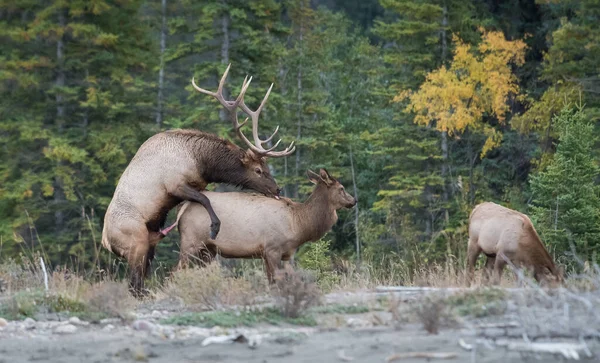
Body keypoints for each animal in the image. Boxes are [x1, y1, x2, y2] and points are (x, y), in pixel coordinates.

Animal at [102, 64, 296, 298]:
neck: (201, 162)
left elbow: (202, 199)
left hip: (148, 244)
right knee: (134, 283)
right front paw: (214, 227)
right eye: (258, 170)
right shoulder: (175, 185)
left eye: (267, 168)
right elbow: (205, 200)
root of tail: (105, 241)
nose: (277, 188)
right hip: (136, 242)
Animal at [177, 169, 356, 282]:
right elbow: (276, 280)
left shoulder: (273, 254)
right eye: (341, 188)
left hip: (208, 250)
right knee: (177, 271)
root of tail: (183, 208)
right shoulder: (273, 249)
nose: (354, 200)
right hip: (190, 243)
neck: (299, 224)